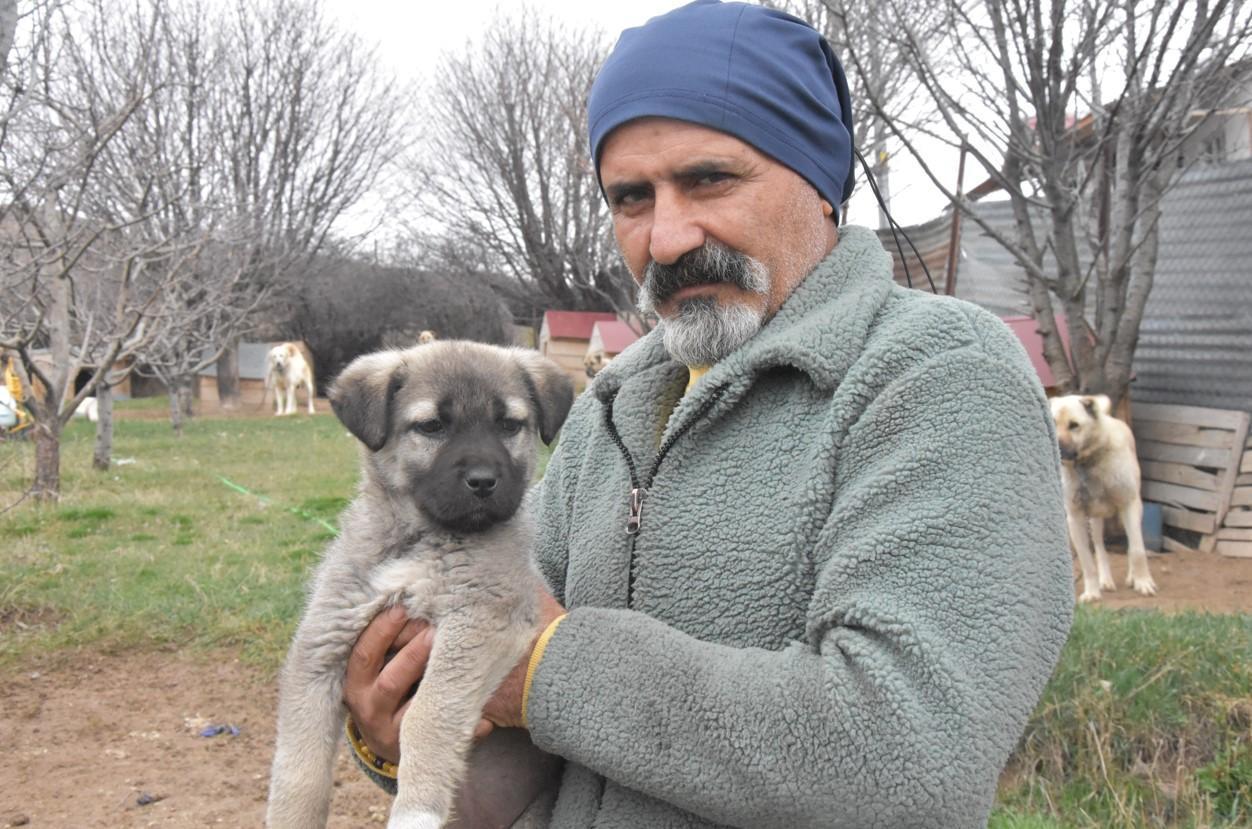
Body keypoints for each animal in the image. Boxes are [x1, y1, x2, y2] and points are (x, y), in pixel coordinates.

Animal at [1046, 395, 1151, 603]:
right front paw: (1092, 592)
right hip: (1094, 519)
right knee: (1100, 548)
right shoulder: (1075, 518)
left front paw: (1143, 582)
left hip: (1132, 511)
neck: (1089, 463)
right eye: (1053, 422)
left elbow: (1137, 549)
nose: (1058, 449)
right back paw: (1106, 580)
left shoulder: (1129, 506)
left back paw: (1132, 577)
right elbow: (1087, 561)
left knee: (1130, 543)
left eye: (1074, 425)